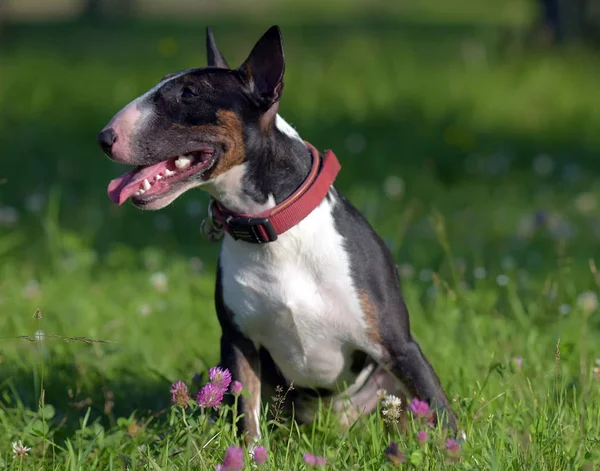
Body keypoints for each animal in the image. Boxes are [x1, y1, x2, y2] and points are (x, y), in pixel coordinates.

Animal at [97, 25, 460, 444]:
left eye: (189, 93)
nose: (104, 138)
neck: (272, 231)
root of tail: (337, 425)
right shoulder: (238, 343)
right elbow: (247, 419)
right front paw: (250, 453)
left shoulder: (399, 345)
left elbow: (441, 410)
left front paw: (457, 450)